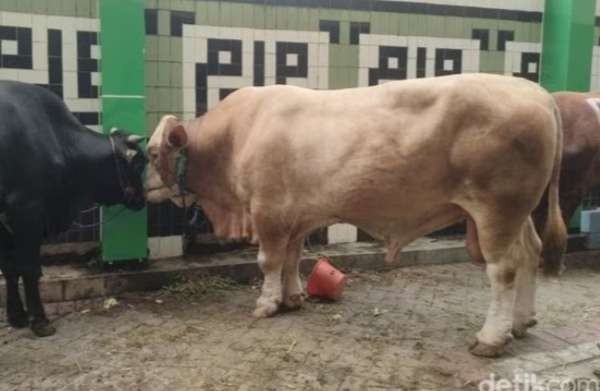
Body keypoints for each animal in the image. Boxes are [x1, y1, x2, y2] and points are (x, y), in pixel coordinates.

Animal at [0, 80, 145, 336]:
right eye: (139, 164)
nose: (142, 197)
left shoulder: (5, 220)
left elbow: (9, 267)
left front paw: (17, 316)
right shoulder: (27, 211)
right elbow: (28, 268)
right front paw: (39, 320)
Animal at [145, 73, 568, 358]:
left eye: (150, 153)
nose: (140, 186)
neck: (236, 135)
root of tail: (535, 92)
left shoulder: (268, 210)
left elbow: (269, 261)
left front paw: (267, 304)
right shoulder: (295, 215)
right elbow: (292, 258)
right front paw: (293, 297)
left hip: (497, 210)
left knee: (504, 271)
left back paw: (491, 337)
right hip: (520, 214)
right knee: (530, 254)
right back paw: (521, 321)